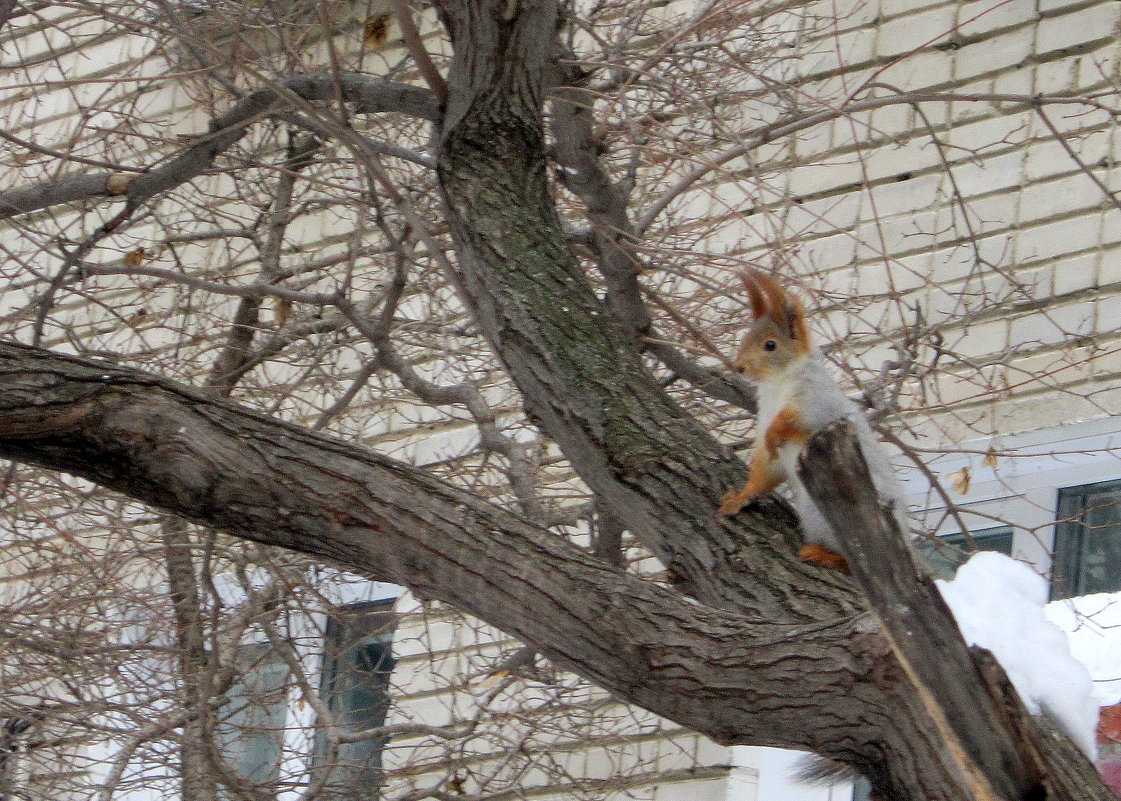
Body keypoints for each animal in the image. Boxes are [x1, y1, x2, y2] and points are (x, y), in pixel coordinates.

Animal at [717, 269, 910, 571]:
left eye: (770, 345)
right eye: (745, 338)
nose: (739, 367)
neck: (777, 383)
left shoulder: (817, 403)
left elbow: (794, 421)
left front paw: (775, 432)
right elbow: (763, 473)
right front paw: (740, 497)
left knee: (854, 561)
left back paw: (822, 555)